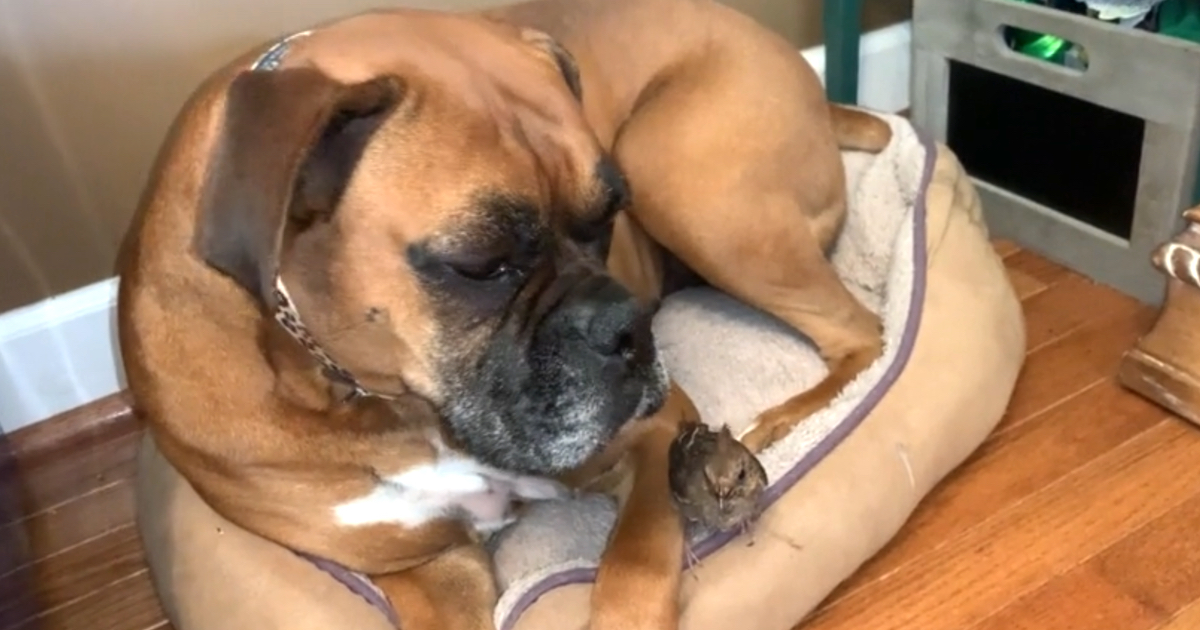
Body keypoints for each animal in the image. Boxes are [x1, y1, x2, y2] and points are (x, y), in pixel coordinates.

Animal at [119, 0, 892, 624]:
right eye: (481, 265)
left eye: (606, 218)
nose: (628, 328)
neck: (372, 398)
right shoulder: (427, 567)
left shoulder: (654, 439)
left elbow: (632, 573)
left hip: (679, 174)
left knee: (862, 333)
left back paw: (789, 416)